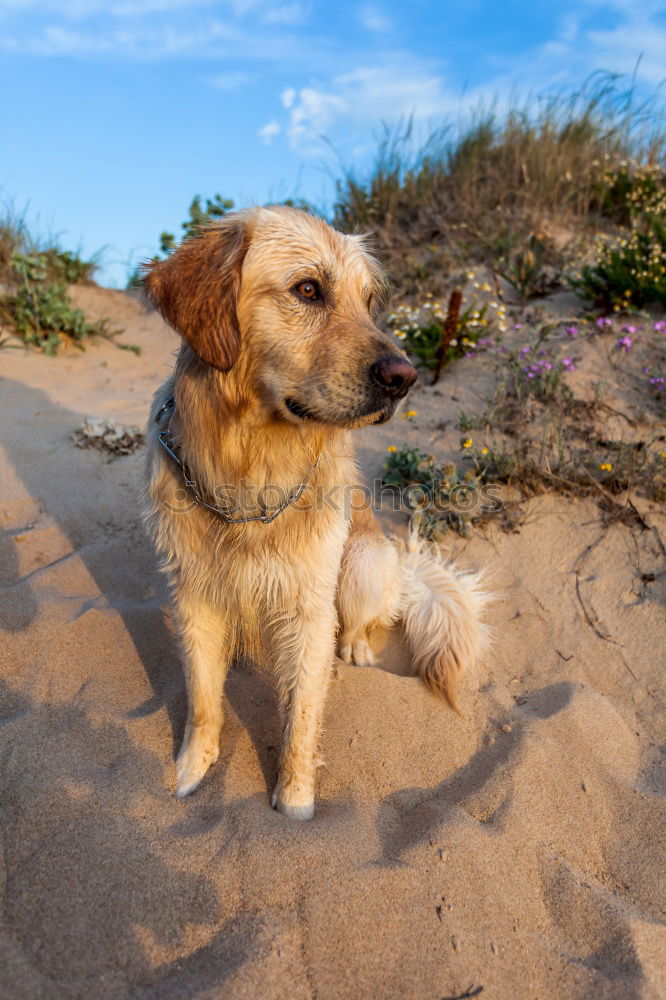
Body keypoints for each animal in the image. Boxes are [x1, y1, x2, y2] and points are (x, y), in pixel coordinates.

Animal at [144, 205, 488, 820]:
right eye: (308, 289)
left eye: (368, 301)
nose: (405, 378)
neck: (251, 469)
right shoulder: (193, 592)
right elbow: (203, 697)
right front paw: (192, 767)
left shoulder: (308, 606)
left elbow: (302, 713)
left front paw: (295, 798)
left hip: (362, 561)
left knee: (362, 622)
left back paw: (354, 645)